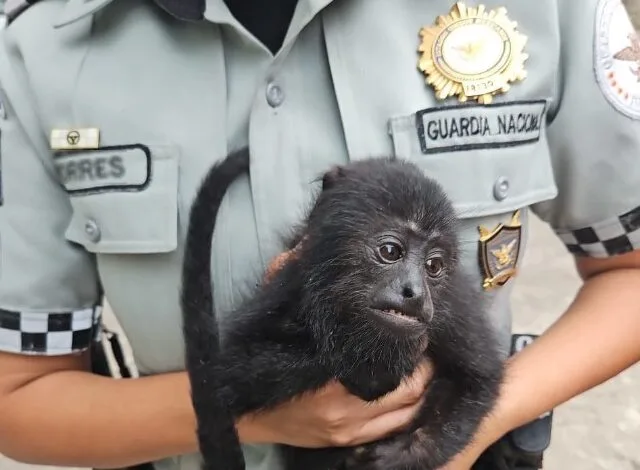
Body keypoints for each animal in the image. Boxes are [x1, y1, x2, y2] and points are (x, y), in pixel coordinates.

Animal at [179, 146, 506, 470]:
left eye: (433, 266)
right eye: (390, 251)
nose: (413, 293)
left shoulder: (452, 309)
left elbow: (480, 378)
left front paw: (397, 457)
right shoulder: (293, 283)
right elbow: (235, 372)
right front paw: (372, 363)